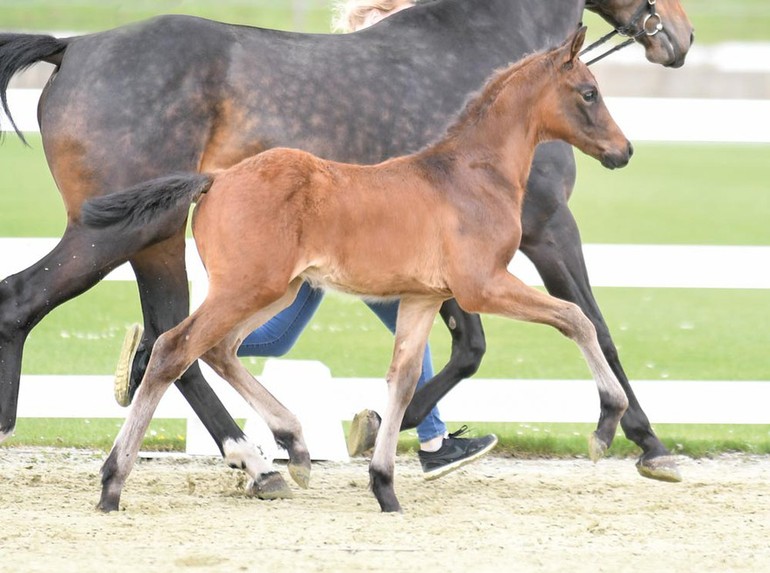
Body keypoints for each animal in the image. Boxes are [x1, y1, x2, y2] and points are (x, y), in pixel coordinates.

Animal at [0, 0, 688, 482]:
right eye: (590, 93)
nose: (679, 37)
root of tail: (72, 47)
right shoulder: (544, 232)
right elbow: (585, 324)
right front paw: (644, 441)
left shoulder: (437, 270)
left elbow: (459, 347)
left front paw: (406, 433)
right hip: (135, 235)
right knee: (79, 314)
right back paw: (251, 459)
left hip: (179, 249)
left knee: (170, 342)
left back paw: (257, 455)